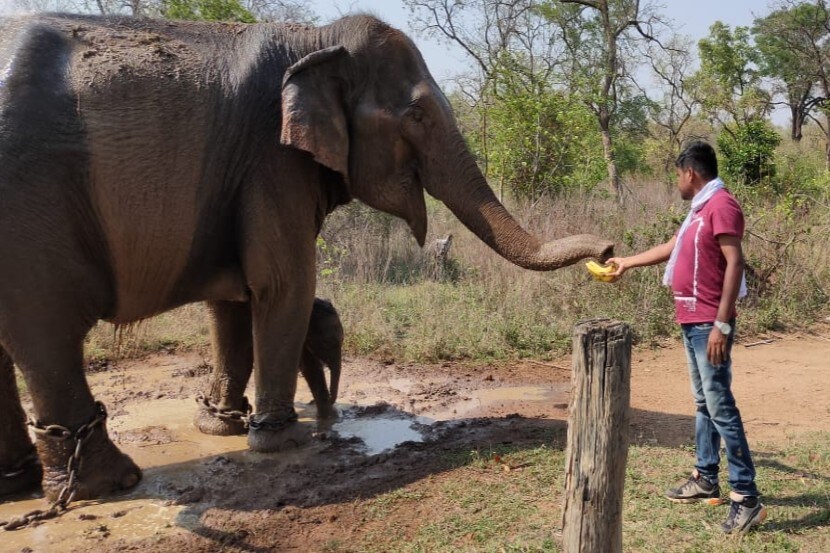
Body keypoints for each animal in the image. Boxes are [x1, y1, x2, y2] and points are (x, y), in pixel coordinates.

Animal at [0, 11, 616, 500]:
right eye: (417, 117)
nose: (610, 250)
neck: (315, 40)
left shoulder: (238, 179)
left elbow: (233, 301)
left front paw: (221, 429)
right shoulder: (270, 160)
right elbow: (283, 282)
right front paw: (282, 440)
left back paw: (23, 484)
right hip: (30, 210)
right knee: (45, 333)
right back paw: (113, 482)